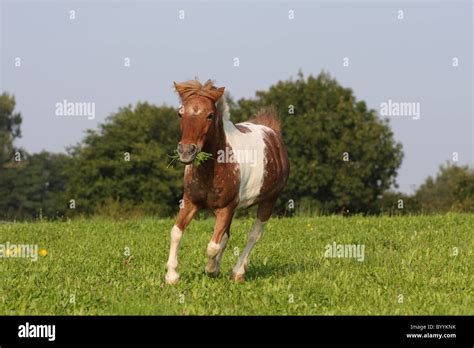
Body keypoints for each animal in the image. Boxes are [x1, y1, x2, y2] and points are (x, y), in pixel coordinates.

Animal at [165, 79, 288, 282]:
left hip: (268, 201)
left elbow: (213, 246)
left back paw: (237, 272)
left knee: (254, 235)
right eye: (180, 113)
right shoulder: (191, 202)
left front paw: (210, 269)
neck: (212, 170)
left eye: (210, 115)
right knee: (227, 236)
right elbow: (176, 232)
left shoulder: (226, 208)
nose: (186, 152)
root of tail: (272, 131)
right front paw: (172, 275)